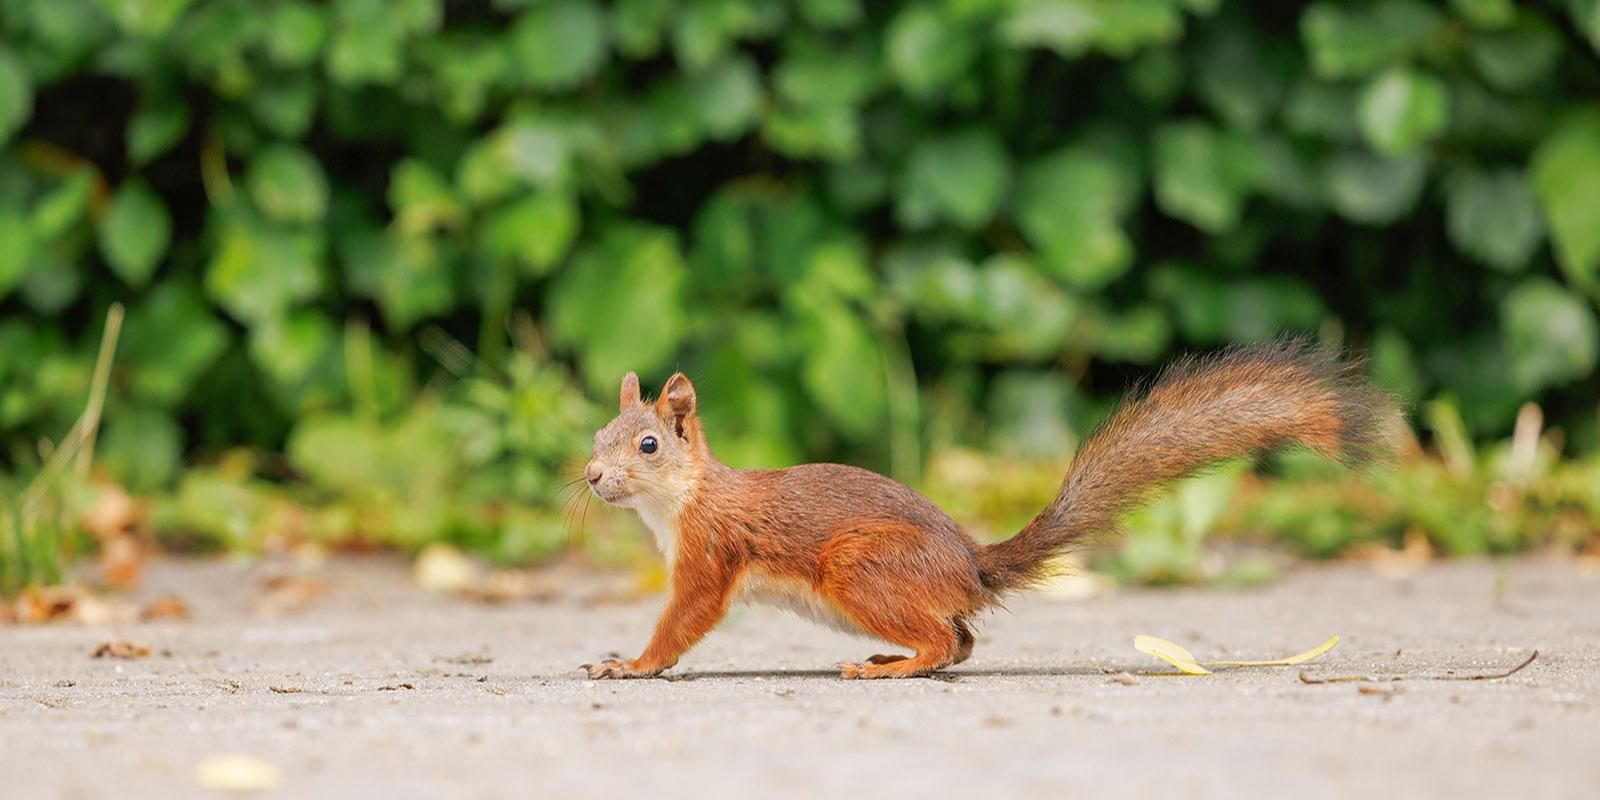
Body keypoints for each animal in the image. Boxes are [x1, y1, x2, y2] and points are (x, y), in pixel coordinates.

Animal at [580, 339, 1396, 680]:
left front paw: (630, 664)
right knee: (962, 640)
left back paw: (888, 670)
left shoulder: (710, 554)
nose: (590, 476)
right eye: (595, 435)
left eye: (647, 443)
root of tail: (971, 564)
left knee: (947, 641)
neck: (681, 500)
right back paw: (892, 658)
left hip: (858, 570)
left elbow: (684, 619)